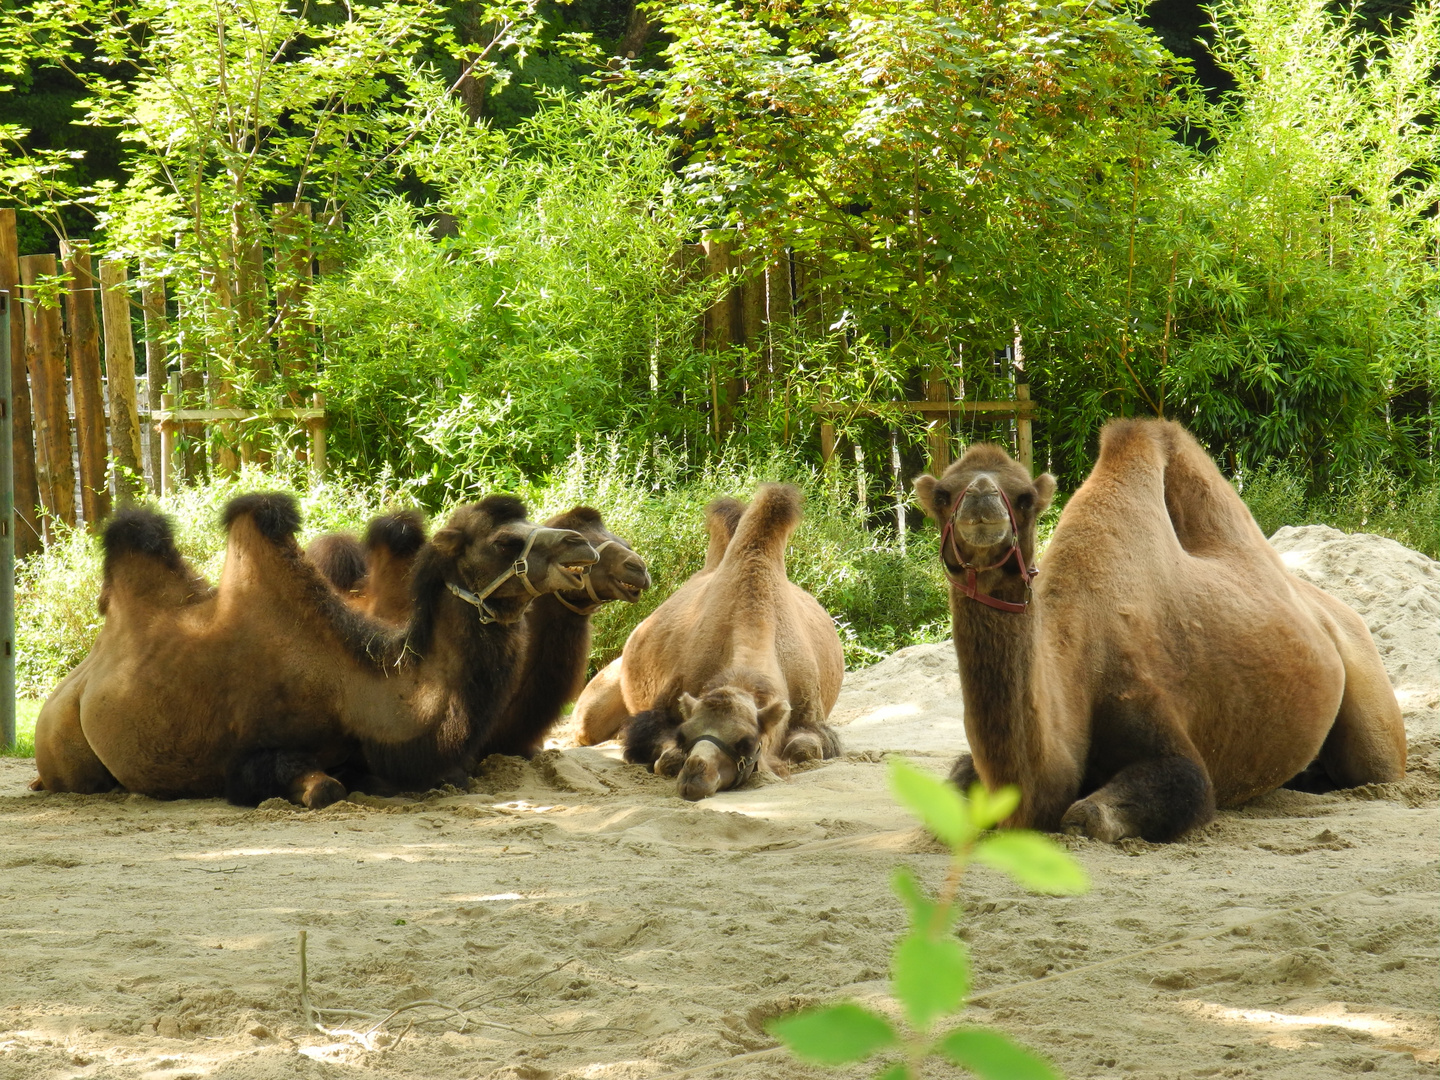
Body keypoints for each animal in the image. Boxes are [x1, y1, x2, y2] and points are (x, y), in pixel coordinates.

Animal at [32, 495, 596, 806]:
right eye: (503, 541)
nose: (581, 544)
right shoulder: (249, 757)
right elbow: (321, 787)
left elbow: (447, 775)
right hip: (67, 749)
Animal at [915, 420, 1399, 846]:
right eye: (942, 495)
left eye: (1025, 498)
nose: (981, 501)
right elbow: (953, 788)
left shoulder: (1147, 702)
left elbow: (1097, 813)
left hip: (1370, 703)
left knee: (1376, 766)